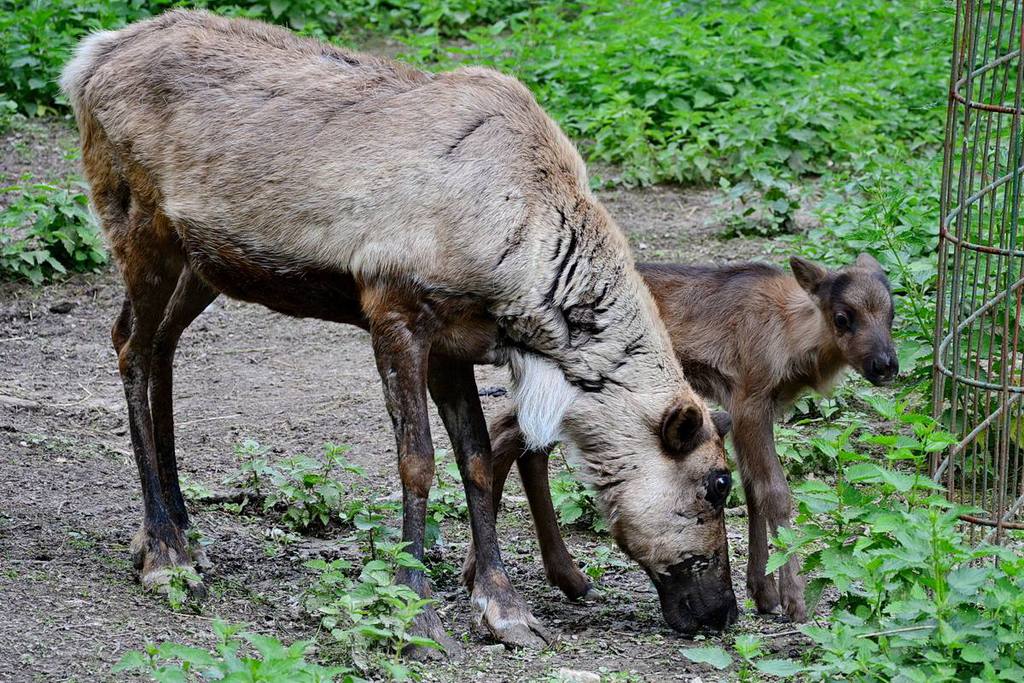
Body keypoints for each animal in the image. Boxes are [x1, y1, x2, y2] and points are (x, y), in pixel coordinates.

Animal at [471, 253, 897, 622]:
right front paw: (794, 599)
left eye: (892, 314)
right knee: (507, 431)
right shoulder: (750, 399)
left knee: (524, 442)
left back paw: (555, 578)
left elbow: (752, 490)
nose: (886, 365)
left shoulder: (748, 407)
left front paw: (763, 592)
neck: (793, 335)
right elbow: (773, 491)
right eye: (842, 317)